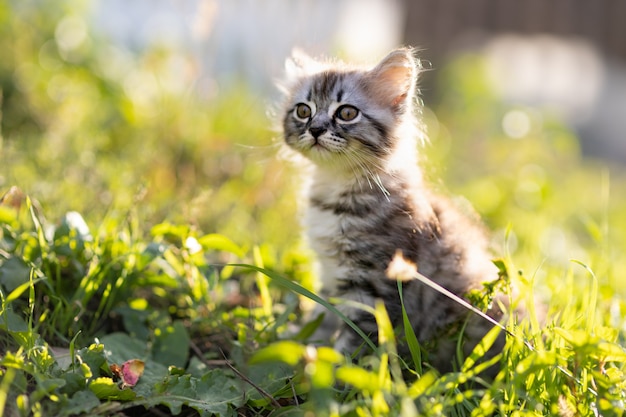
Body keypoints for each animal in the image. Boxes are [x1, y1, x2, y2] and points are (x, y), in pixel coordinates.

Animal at [280, 47, 510, 372]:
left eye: (346, 113)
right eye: (303, 111)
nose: (315, 129)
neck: (336, 185)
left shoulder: (373, 286)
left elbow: (352, 342)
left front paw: (334, 374)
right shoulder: (330, 276)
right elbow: (320, 319)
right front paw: (300, 349)